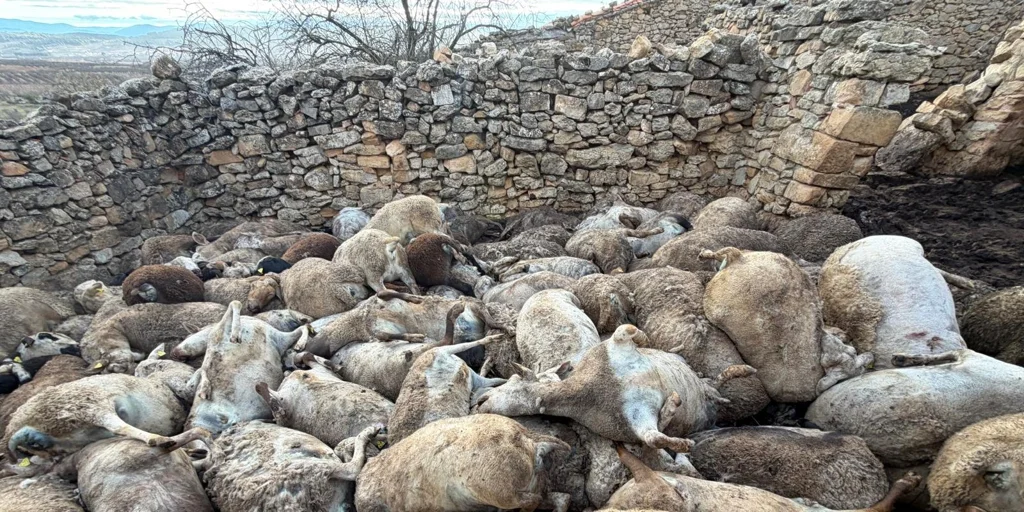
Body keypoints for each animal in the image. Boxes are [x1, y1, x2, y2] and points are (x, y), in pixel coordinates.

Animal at [476, 324, 755, 453]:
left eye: (514, 378)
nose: (479, 401)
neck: (592, 388)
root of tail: (712, 400)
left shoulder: (614, 346)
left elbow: (626, 330)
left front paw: (646, 340)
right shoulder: (635, 421)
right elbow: (654, 437)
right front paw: (679, 429)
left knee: (712, 381)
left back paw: (744, 372)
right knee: (714, 386)